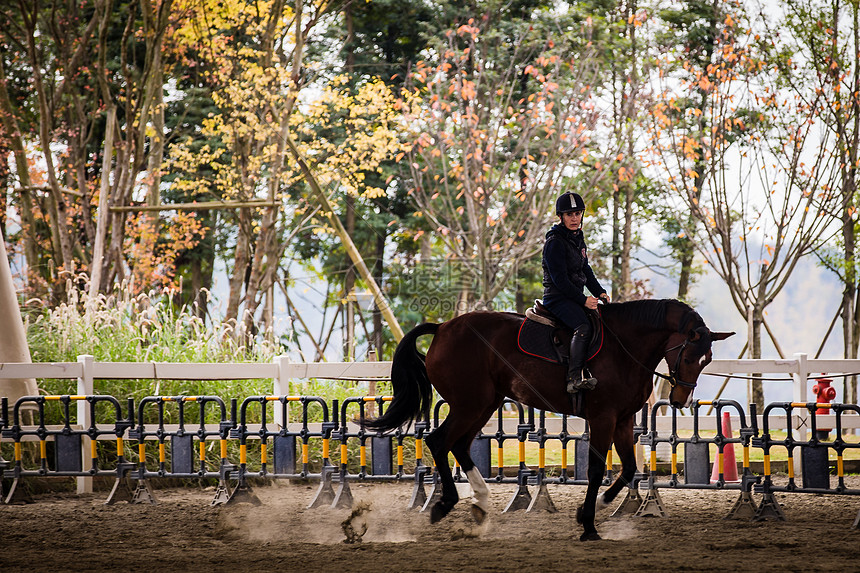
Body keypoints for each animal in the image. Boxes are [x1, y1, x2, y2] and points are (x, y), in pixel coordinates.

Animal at [368, 300, 732, 540]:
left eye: (707, 360)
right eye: (689, 356)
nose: (680, 400)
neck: (624, 347)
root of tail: (443, 327)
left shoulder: (624, 420)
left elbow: (629, 468)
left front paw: (599, 504)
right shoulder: (603, 418)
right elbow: (596, 469)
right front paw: (588, 524)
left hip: (483, 404)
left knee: (458, 444)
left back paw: (481, 505)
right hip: (470, 404)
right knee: (439, 441)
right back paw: (445, 504)